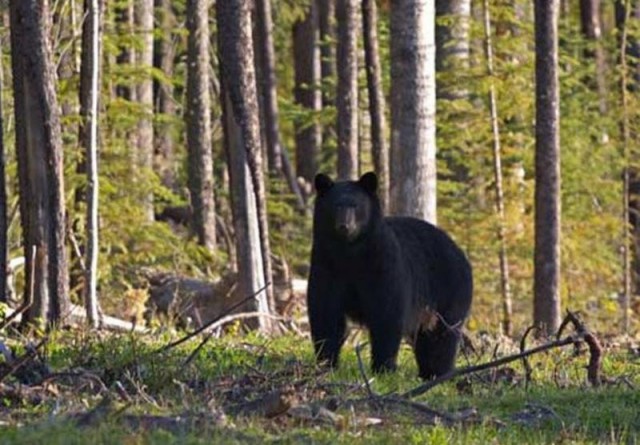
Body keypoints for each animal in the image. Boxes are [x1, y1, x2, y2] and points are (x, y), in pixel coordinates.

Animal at [308, 170, 472, 378]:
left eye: (355, 205)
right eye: (335, 205)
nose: (345, 226)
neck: (350, 254)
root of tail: (460, 252)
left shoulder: (383, 266)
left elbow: (386, 314)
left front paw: (383, 369)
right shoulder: (326, 265)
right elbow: (325, 312)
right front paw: (326, 364)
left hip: (449, 289)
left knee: (442, 336)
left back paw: (437, 373)